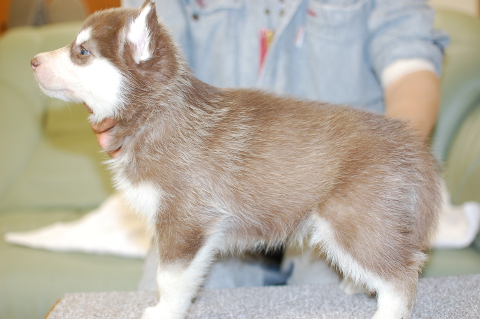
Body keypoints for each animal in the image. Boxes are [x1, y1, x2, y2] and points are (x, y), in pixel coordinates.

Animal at [31, 1, 440, 318]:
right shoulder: (198, 231)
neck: (158, 111)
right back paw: (358, 285)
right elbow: (187, 276)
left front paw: (164, 310)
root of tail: (410, 143)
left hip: (351, 220)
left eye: (82, 52)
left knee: (402, 274)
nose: (33, 60)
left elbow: (169, 277)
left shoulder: (184, 220)